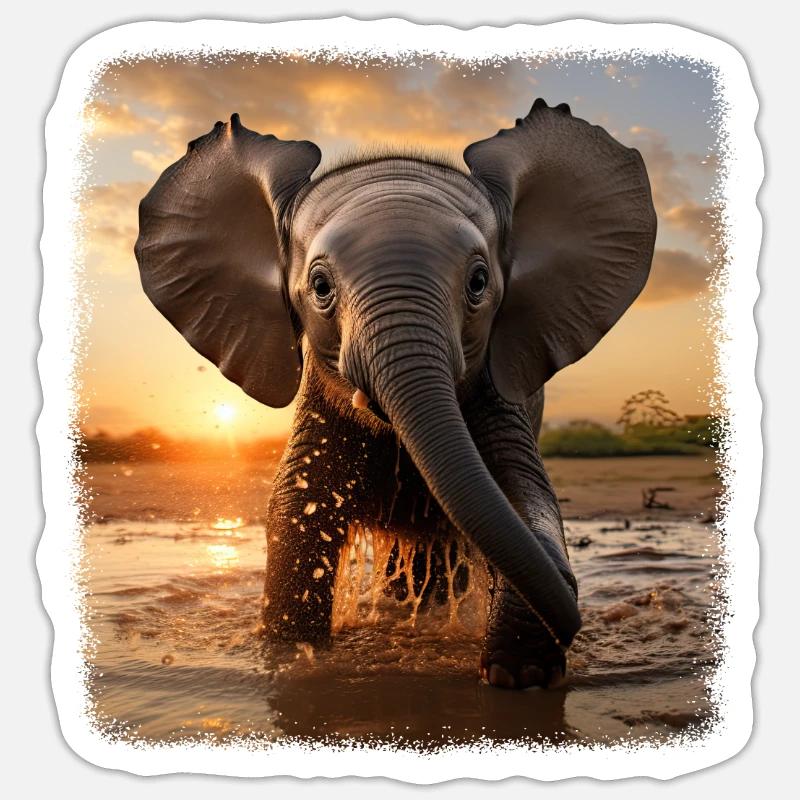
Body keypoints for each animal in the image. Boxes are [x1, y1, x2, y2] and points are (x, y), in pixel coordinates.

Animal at [135, 98, 656, 690]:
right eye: (320, 287)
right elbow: (295, 512)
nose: (575, 620)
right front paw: (291, 656)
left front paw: (517, 676)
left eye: (479, 283)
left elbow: (524, 498)